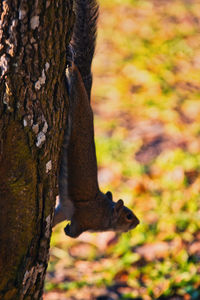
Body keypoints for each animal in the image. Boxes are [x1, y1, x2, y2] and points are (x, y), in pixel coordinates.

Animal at [53, 0, 141, 239]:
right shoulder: (84, 218)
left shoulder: (65, 211)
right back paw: (71, 62)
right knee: (74, 75)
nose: (138, 222)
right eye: (128, 215)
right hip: (78, 105)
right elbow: (75, 230)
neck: (105, 212)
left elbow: (58, 215)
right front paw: (68, 232)